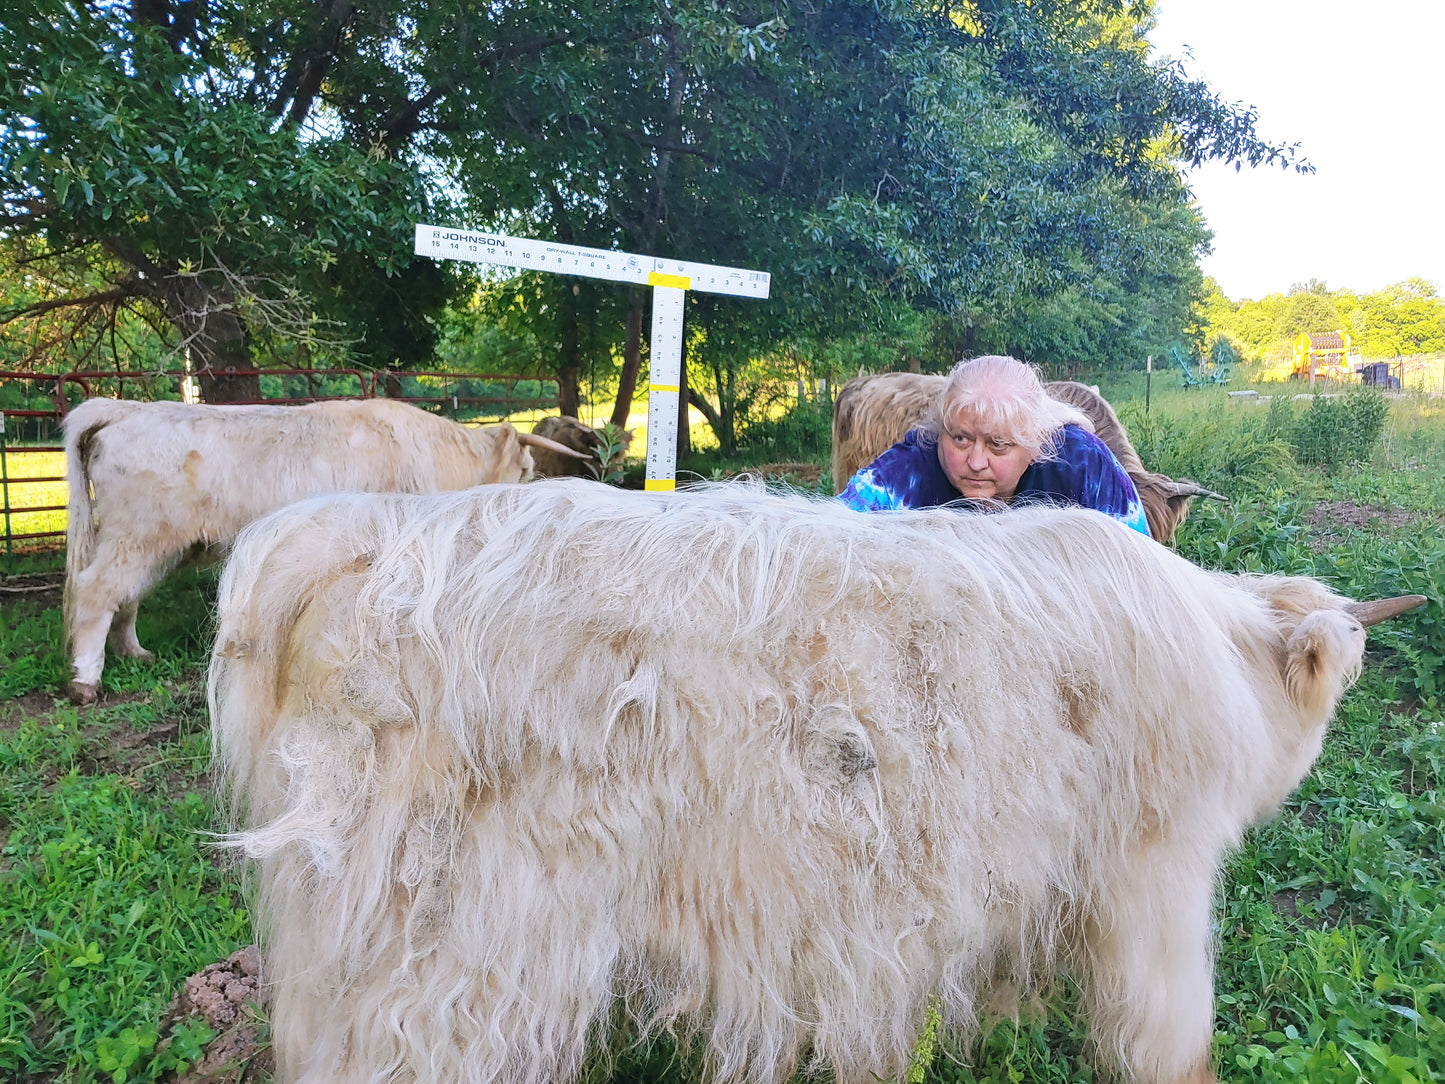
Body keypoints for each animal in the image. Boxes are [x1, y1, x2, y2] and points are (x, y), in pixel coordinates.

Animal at [62, 397, 585, 706]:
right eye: (526, 468)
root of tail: (124, 409)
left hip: (150, 542)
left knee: (126, 596)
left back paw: (134, 652)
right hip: (138, 535)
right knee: (96, 592)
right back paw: (87, 680)